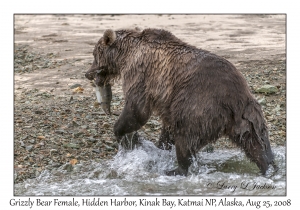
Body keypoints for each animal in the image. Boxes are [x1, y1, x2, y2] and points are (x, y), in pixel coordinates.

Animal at [85, 27, 276, 176]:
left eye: (95, 54)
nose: (88, 73)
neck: (126, 54)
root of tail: (236, 99)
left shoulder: (141, 74)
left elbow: (137, 109)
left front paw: (125, 135)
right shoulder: (165, 97)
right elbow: (164, 125)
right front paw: (153, 144)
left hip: (198, 106)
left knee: (185, 137)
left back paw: (175, 170)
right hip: (249, 119)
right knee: (257, 145)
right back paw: (270, 167)